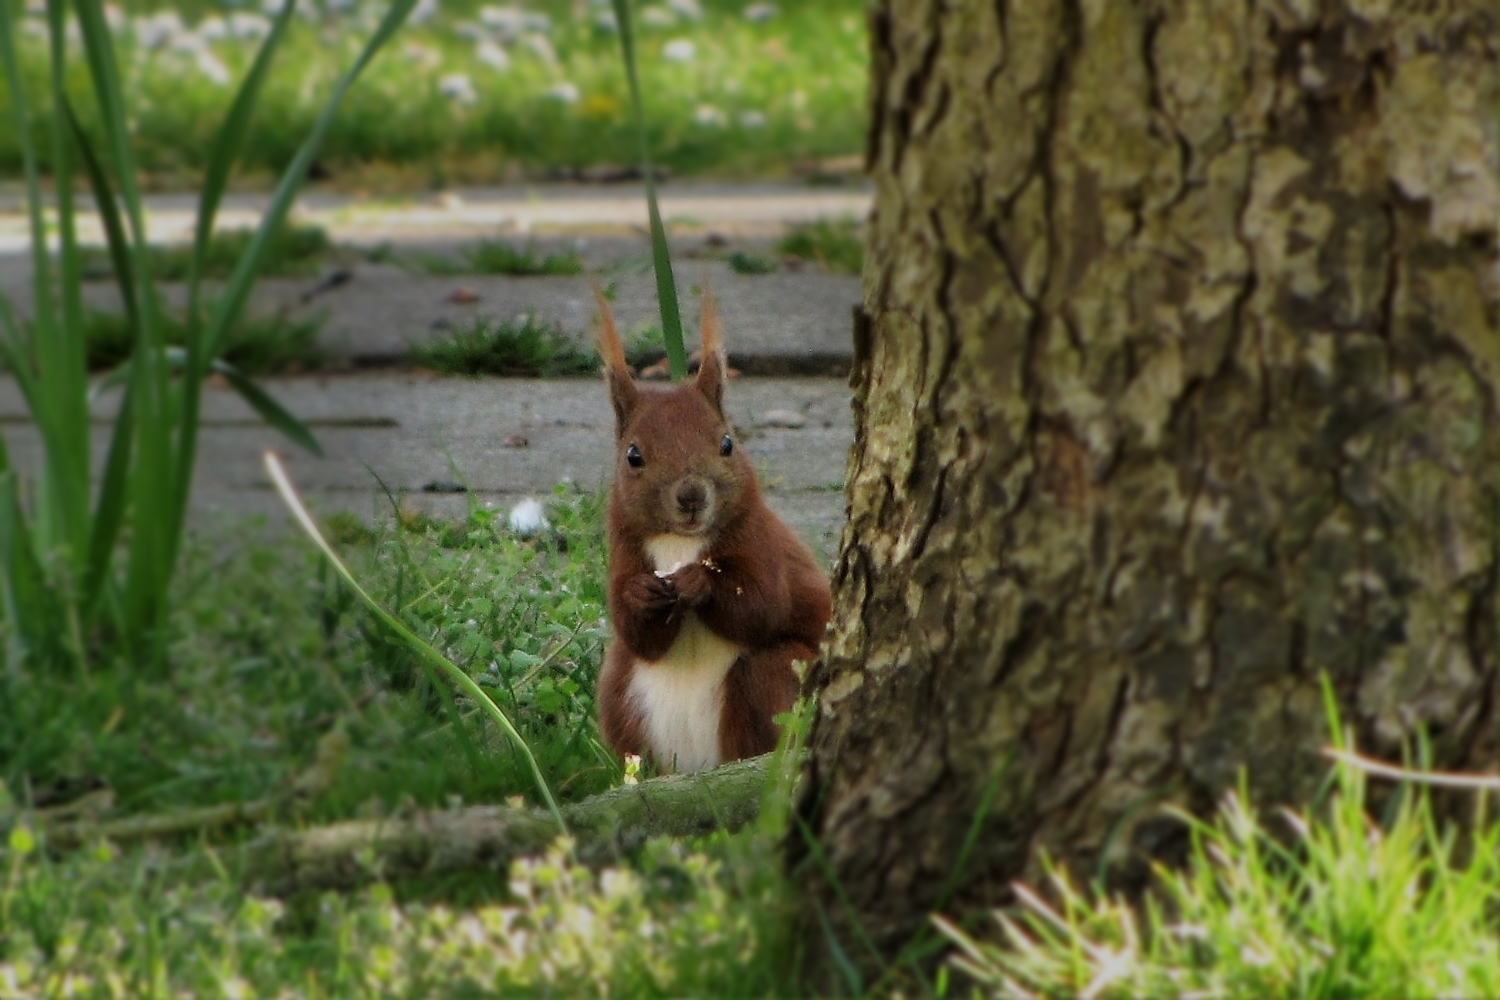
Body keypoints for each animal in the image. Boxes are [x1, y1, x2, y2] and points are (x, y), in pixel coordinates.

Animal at [594, 289, 834, 773]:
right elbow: (636, 633)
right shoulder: (624, 552)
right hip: (618, 691)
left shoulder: (763, 542)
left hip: (776, 677)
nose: (691, 495)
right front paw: (640, 595)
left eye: (727, 443)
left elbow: (762, 605)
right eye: (633, 455)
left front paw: (699, 582)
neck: (680, 543)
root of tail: (695, 767)